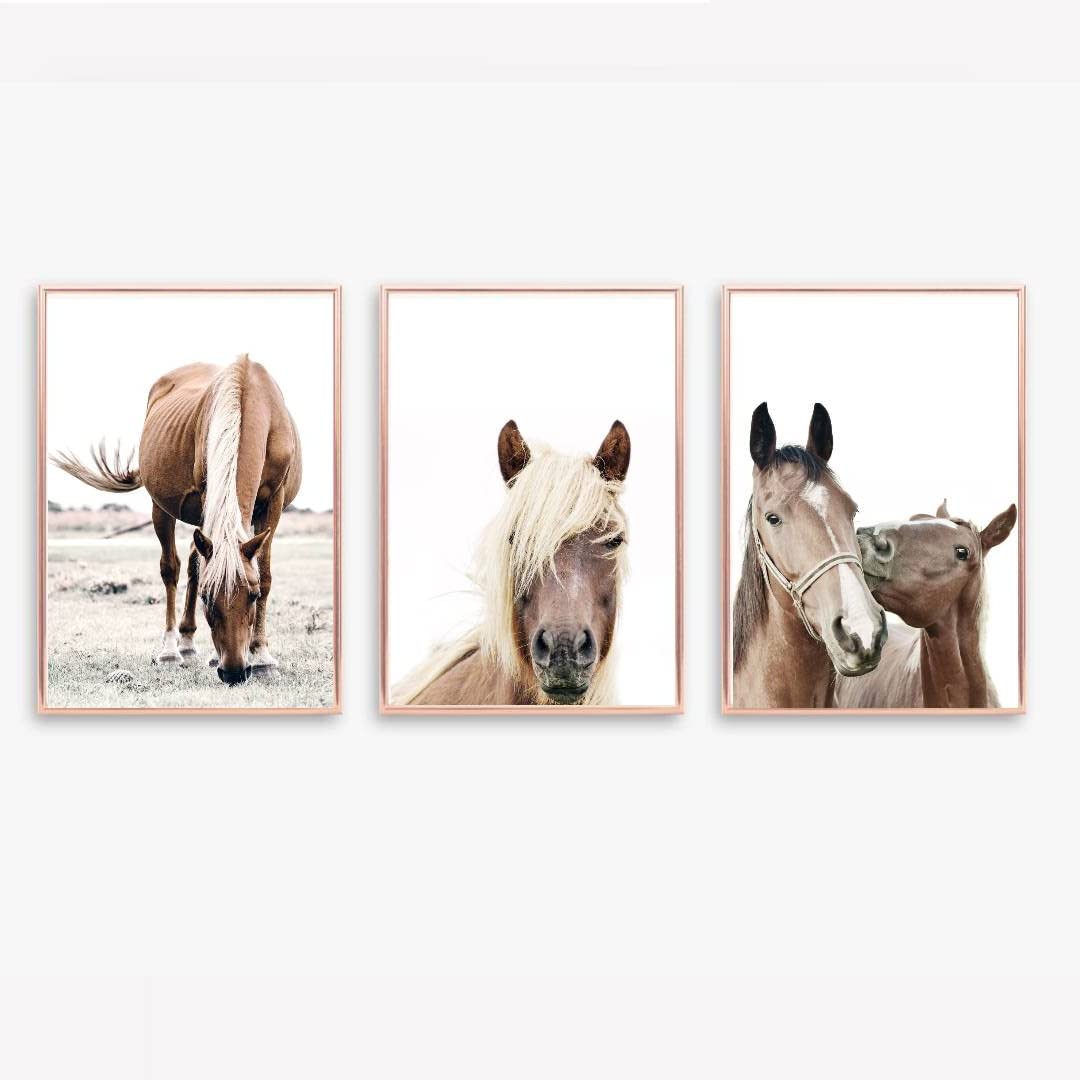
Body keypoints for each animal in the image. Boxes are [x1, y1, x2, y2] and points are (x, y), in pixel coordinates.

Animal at [51, 354, 302, 685]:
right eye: (207, 598)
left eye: (253, 595)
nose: (233, 672)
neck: (249, 397)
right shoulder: (208, 492)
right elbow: (192, 570)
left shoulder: (274, 502)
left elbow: (266, 573)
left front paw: (261, 656)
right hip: (161, 507)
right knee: (172, 568)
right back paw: (174, 648)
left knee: (196, 558)